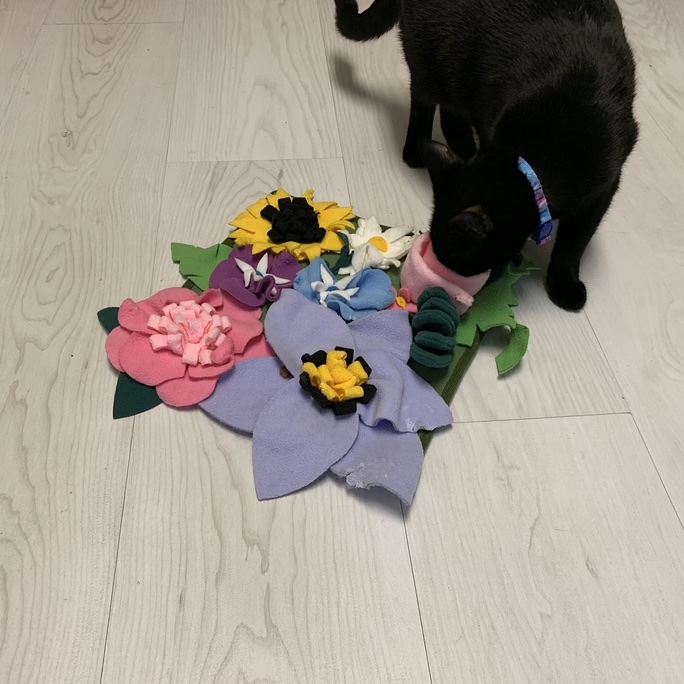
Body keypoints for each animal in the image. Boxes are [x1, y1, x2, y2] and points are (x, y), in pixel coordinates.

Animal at [334, 0, 640, 308]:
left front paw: (564, 283)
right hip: (435, 55)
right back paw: (416, 151)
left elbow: (575, 241)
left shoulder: (604, 188)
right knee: (424, 98)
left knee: (449, 113)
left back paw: (461, 147)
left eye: (456, 257)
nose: (445, 277)